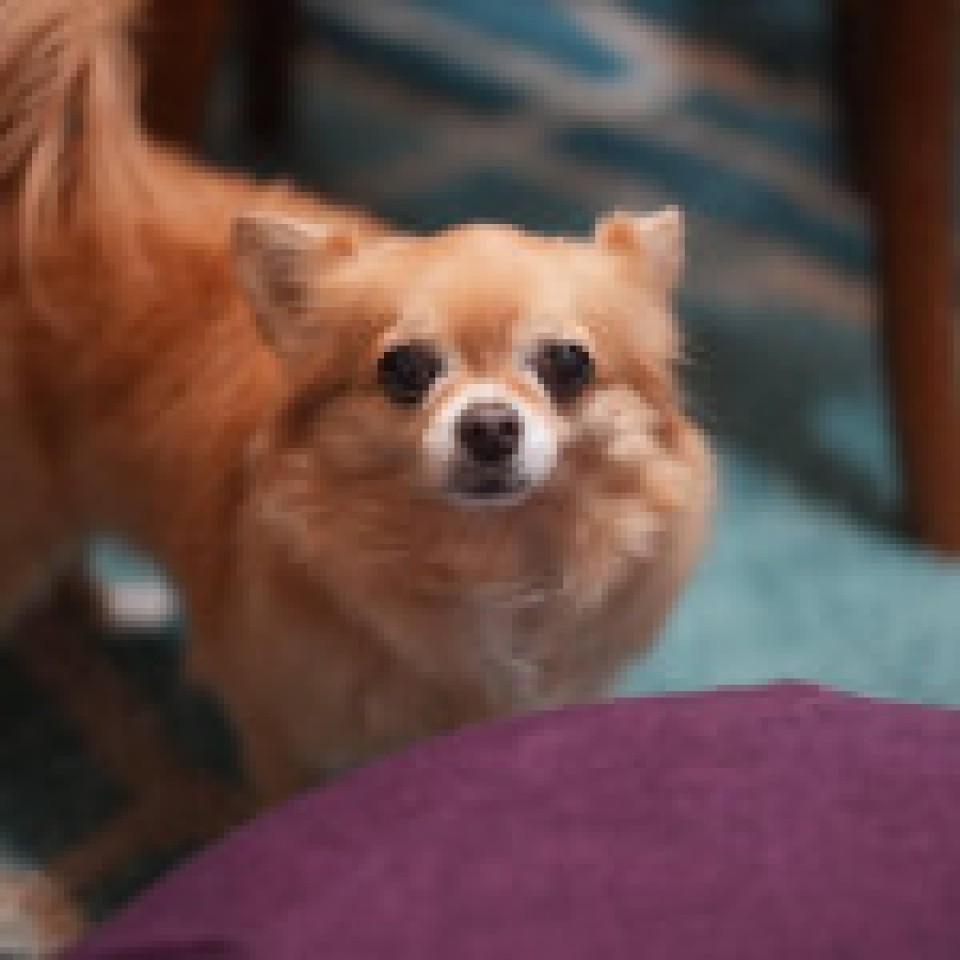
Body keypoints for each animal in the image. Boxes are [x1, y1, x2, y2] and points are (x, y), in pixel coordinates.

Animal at [0, 0, 712, 803]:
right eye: (405, 369)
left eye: (567, 363)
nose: (490, 426)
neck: (485, 560)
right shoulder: (290, 741)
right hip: (19, 516)